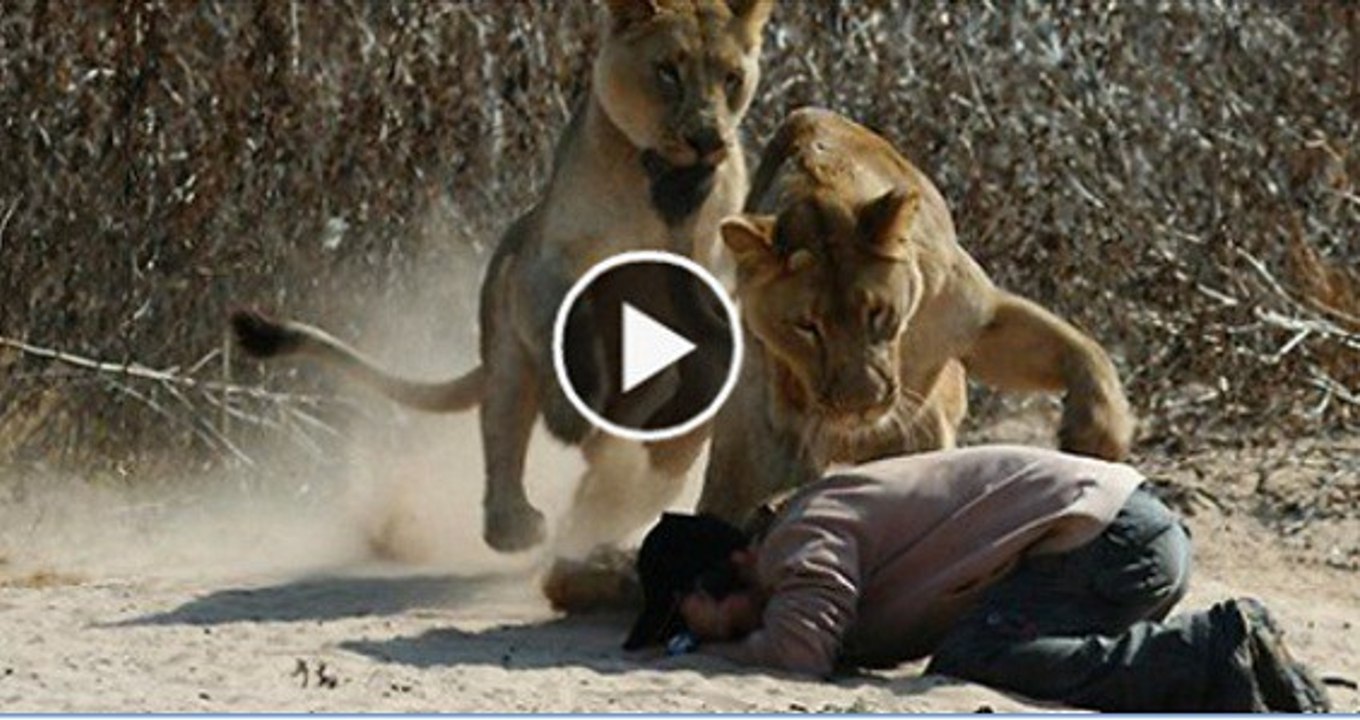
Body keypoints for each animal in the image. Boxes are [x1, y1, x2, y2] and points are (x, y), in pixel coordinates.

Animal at [231, 0, 776, 565]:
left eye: (732, 78)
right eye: (668, 71)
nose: (707, 140)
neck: (653, 186)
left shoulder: (717, 271)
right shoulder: (543, 265)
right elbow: (566, 325)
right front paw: (569, 412)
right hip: (507, 344)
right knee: (504, 434)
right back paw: (518, 520)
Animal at [695, 107, 1135, 525]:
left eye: (877, 312)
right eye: (806, 326)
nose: (862, 405)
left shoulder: (981, 322)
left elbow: (1083, 348)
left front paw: (1097, 435)